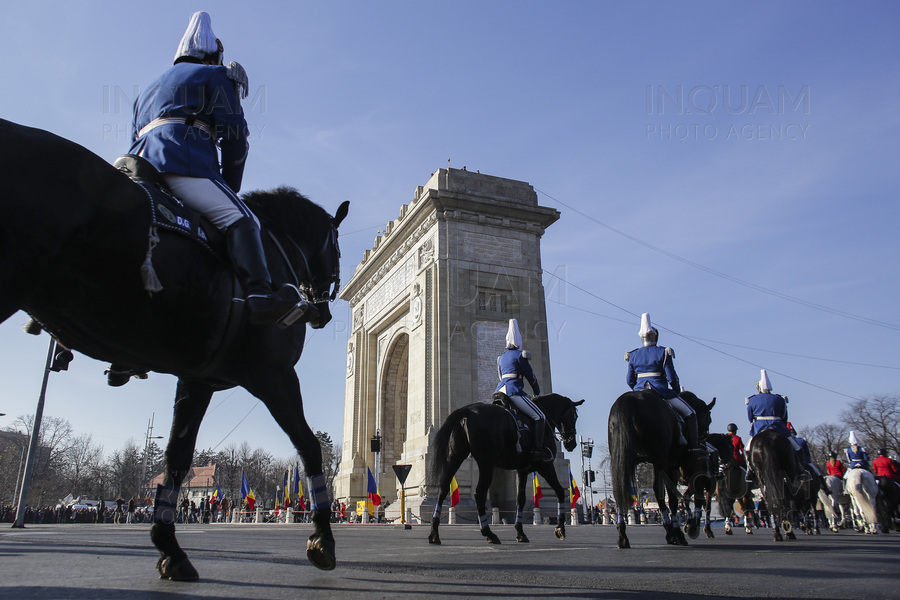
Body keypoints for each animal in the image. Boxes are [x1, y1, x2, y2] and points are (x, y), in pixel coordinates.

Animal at [0, 120, 348, 576]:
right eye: (337, 248)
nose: (322, 309)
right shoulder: (273, 374)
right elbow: (308, 446)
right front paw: (322, 539)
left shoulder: (197, 379)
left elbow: (176, 457)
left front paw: (170, 547)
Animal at [428, 392, 584, 548]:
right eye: (575, 415)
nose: (571, 443)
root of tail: (466, 411)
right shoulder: (545, 465)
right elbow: (559, 491)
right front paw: (560, 529)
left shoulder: (522, 469)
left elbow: (520, 499)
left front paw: (520, 533)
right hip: (487, 462)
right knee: (479, 493)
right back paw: (489, 533)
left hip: (455, 457)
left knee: (443, 489)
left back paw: (434, 533)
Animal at [608, 390, 712, 548]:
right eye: (708, 418)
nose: (704, 439)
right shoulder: (672, 466)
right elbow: (673, 497)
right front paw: (678, 532)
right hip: (660, 460)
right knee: (660, 491)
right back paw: (674, 531)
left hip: (623, 457)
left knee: (620, 489)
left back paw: (622, 536)